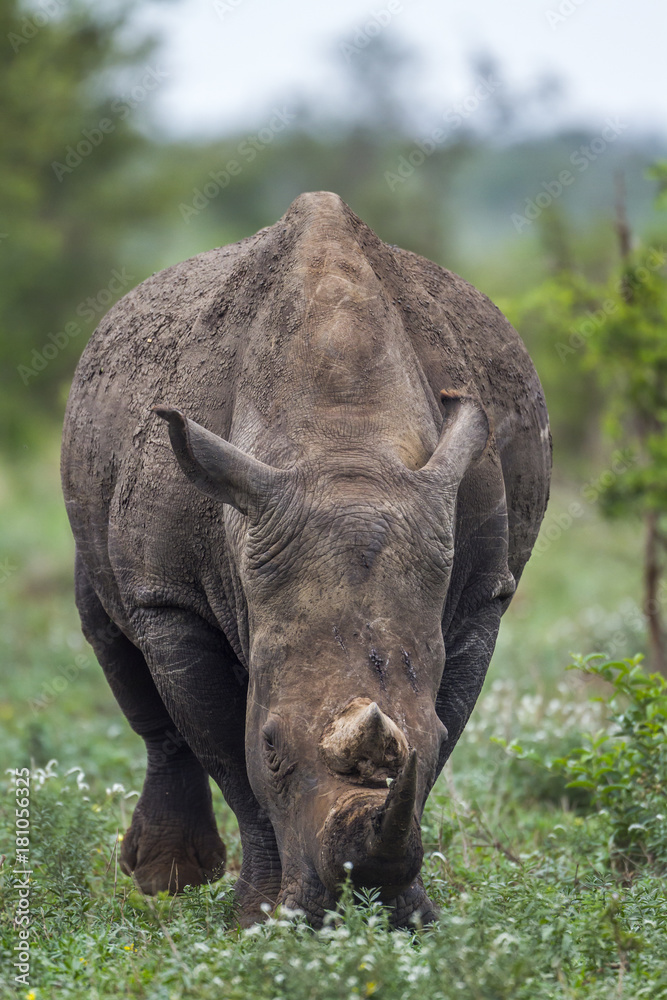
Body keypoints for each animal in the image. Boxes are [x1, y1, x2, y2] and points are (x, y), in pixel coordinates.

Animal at [61, 191, 550, 927]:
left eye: (434, 737)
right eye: (271, 743)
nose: (358, 902)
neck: (345, 445)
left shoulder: (481, 594)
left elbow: (437, 735)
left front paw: (410, 916)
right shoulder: (170, 595)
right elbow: (227, 753)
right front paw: (260, 919)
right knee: (114, 639)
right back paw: (167, 882)